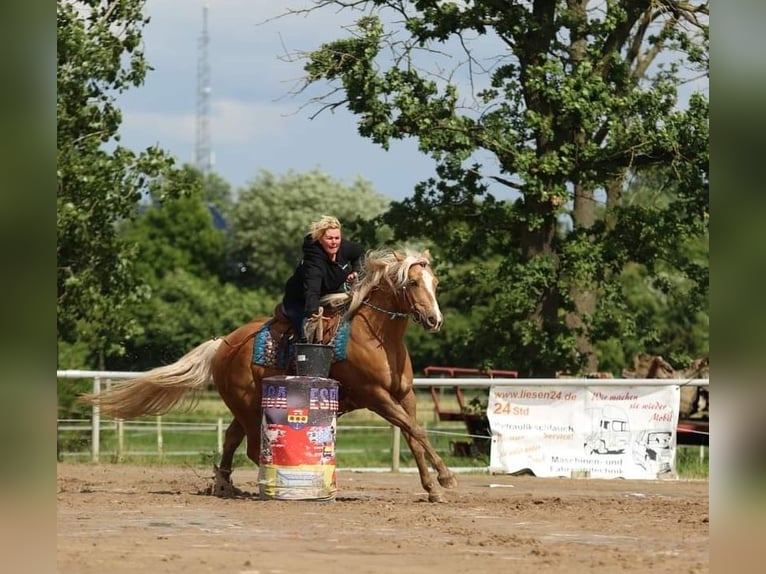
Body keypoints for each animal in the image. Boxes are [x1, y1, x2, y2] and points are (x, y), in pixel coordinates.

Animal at [82, 248, 459, 502]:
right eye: (412, 282)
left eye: (436, 282)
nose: (435, 320)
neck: (377, 337)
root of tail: (223, 344)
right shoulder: (375, 396)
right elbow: (416, 431)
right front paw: (446, 478)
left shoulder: (404, 395)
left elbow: (413, 435)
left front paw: (432, 488)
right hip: (248, 407)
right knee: (250, 445)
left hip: (244, 408)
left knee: (231, 439)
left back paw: (225, 485)